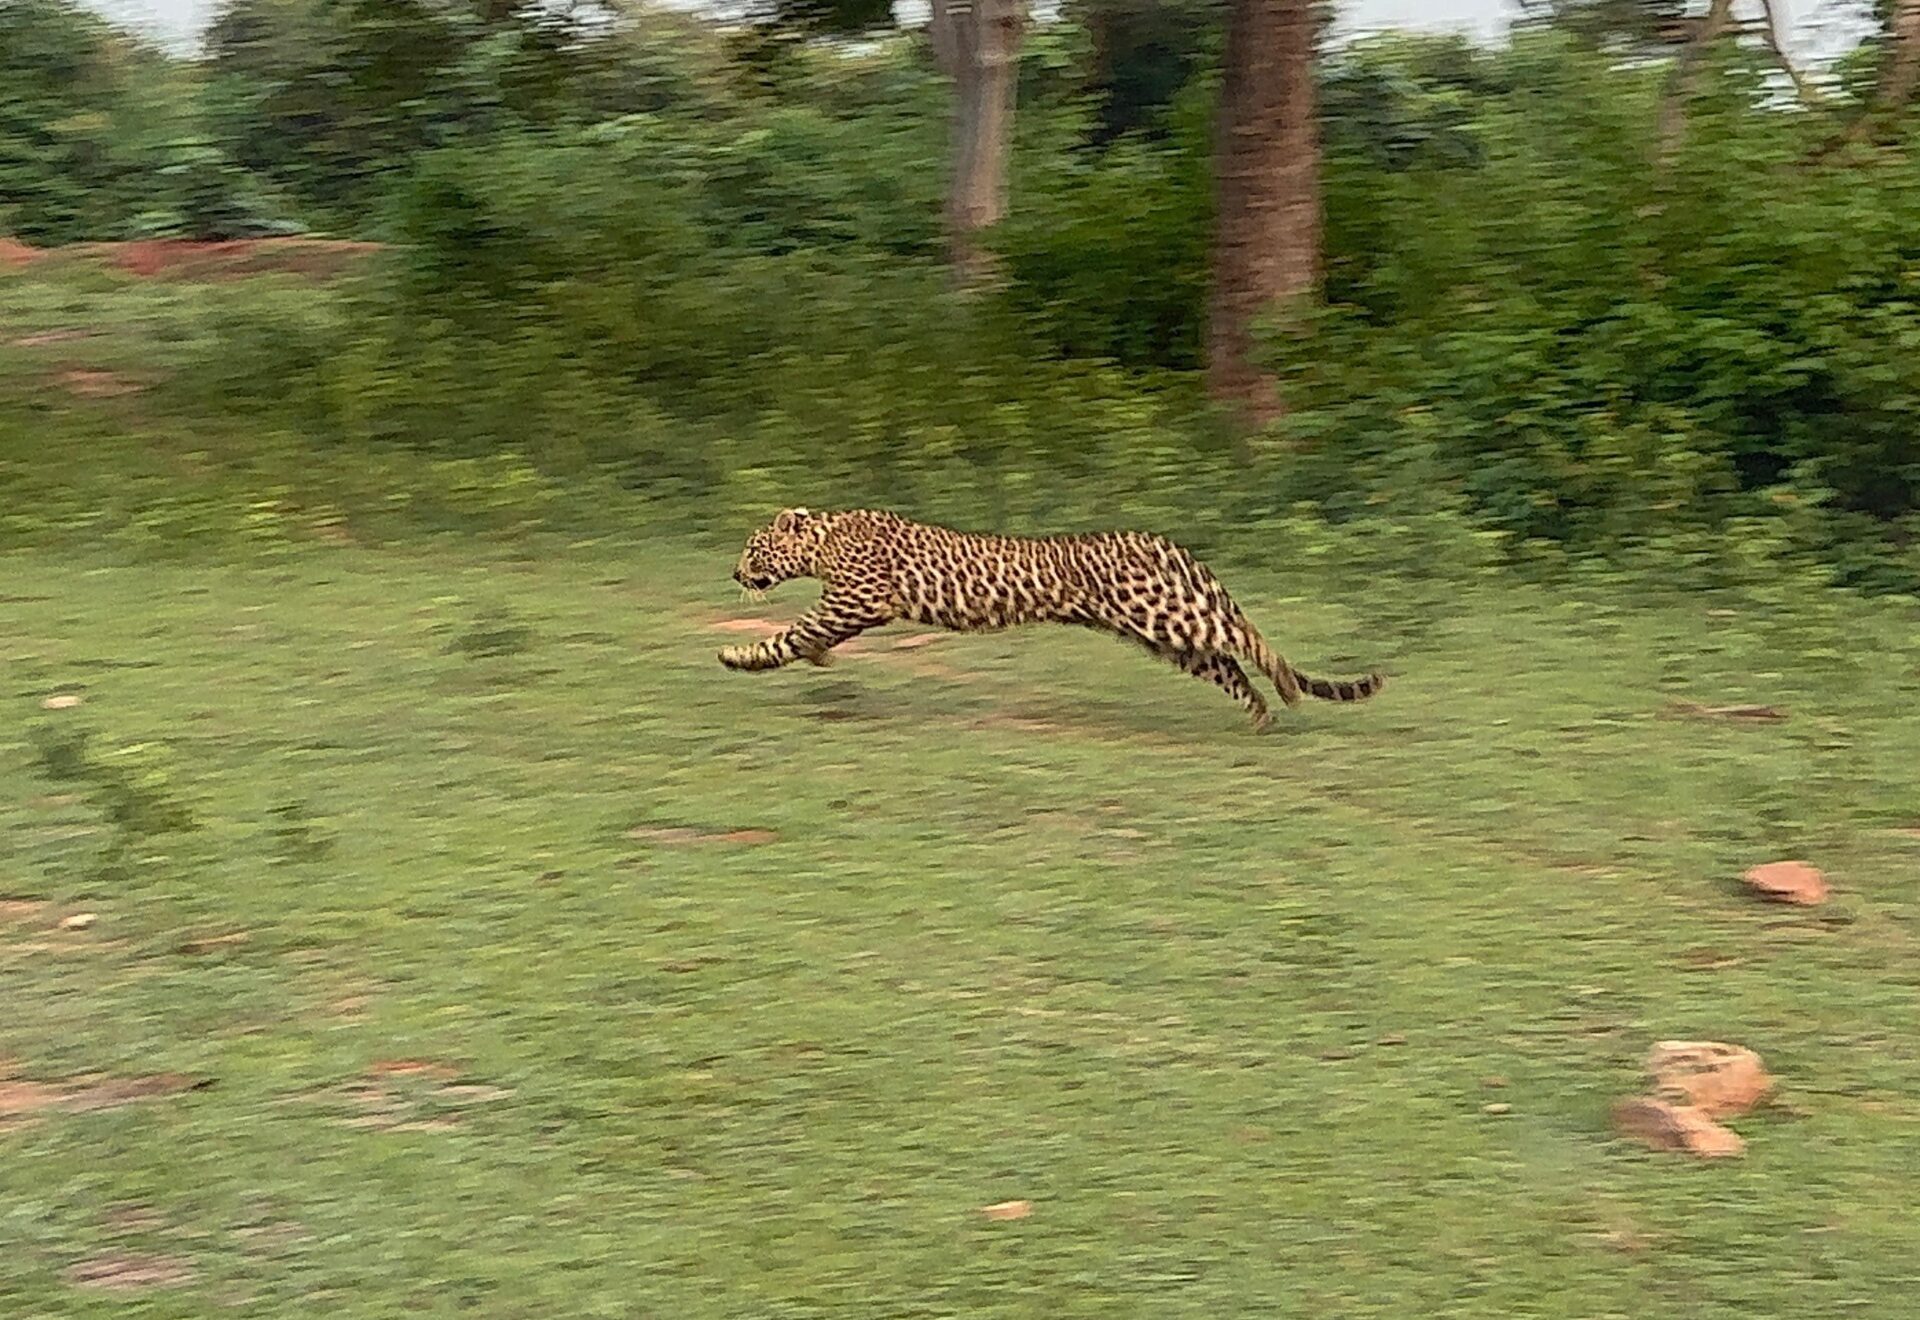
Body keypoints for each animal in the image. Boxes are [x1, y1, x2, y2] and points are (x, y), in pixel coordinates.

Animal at [718, 507, 1384, 729]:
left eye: (753, 548)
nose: (734, 572)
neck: (825, 536)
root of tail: (1158, 538)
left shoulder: (850, 602)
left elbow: (788, 636)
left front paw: (736, 656)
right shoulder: (849, 610)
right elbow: (809, 639)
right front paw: (818, 658)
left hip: (1161, 612)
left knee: (1244, 636)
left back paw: (1289, 688)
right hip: (1166, 637)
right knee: (1227, 663)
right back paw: (1262, 716)